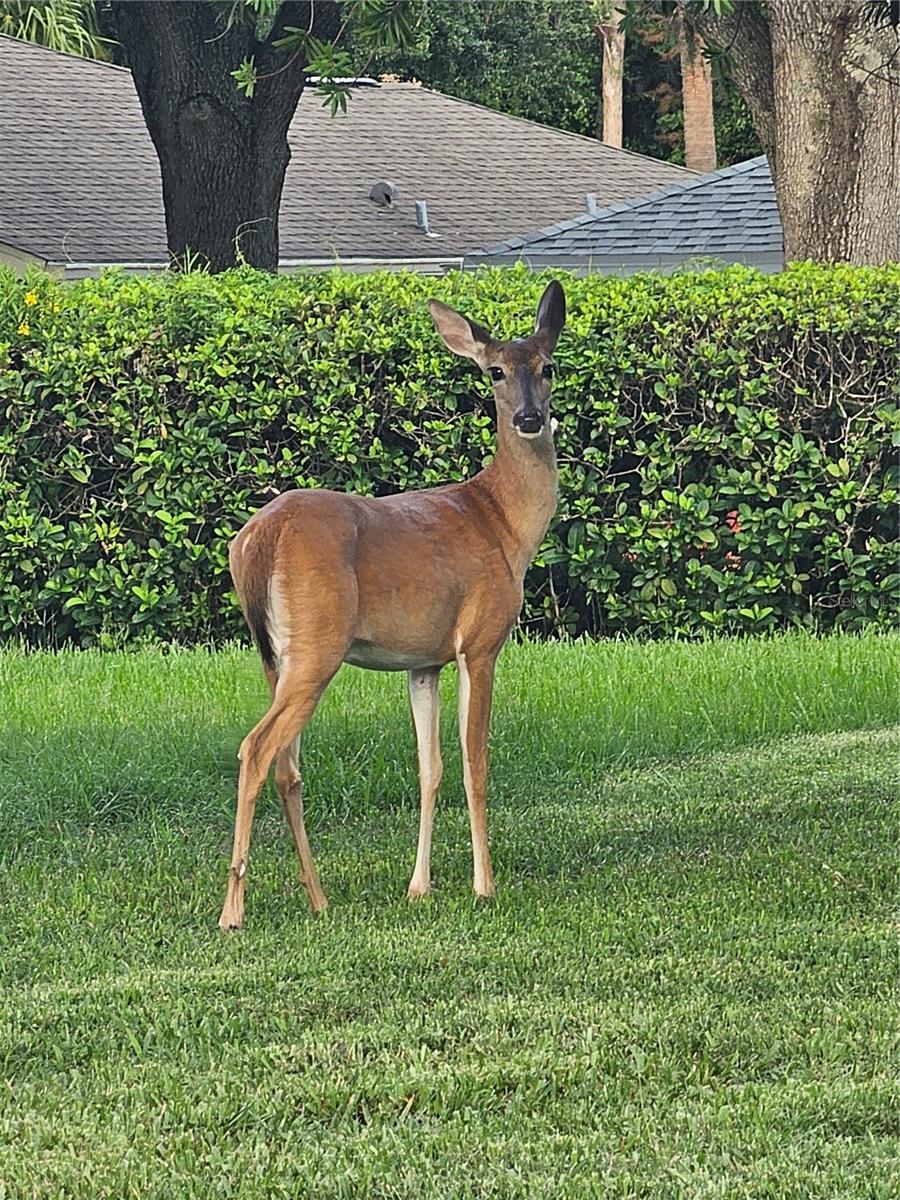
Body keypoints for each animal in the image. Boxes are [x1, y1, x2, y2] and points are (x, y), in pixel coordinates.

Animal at [217, 278, 564, 926]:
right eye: (496, 372)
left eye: (548, 366)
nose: (529, 418)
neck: (505, 524)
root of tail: (258, 539)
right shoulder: (480, 641)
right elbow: (476, 764)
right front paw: (484, 885)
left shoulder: (423, 662)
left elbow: (430, 768)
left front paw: (418, 886)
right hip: (318, 643)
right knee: (256, 749)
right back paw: (233, 910)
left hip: (275, 653)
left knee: (286, 765)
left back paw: (318, 897)